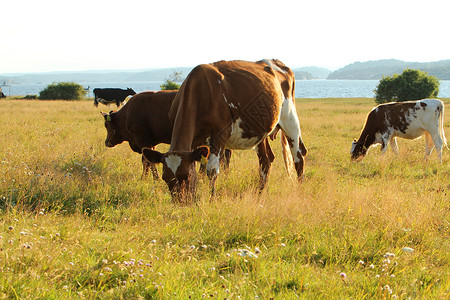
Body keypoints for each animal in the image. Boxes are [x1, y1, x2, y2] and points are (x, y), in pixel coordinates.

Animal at [142, 59, 308, 200]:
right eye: (165, 177)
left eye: (185, 175)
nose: (180, 201)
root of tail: (276, 63)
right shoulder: (194, 143)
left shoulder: (219, 136)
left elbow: (211, 171)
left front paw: (212, 199)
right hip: (260, 130)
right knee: (266, 160)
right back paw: (260, 194)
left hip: (290, 119)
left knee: (298, 156)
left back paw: (299, 191)